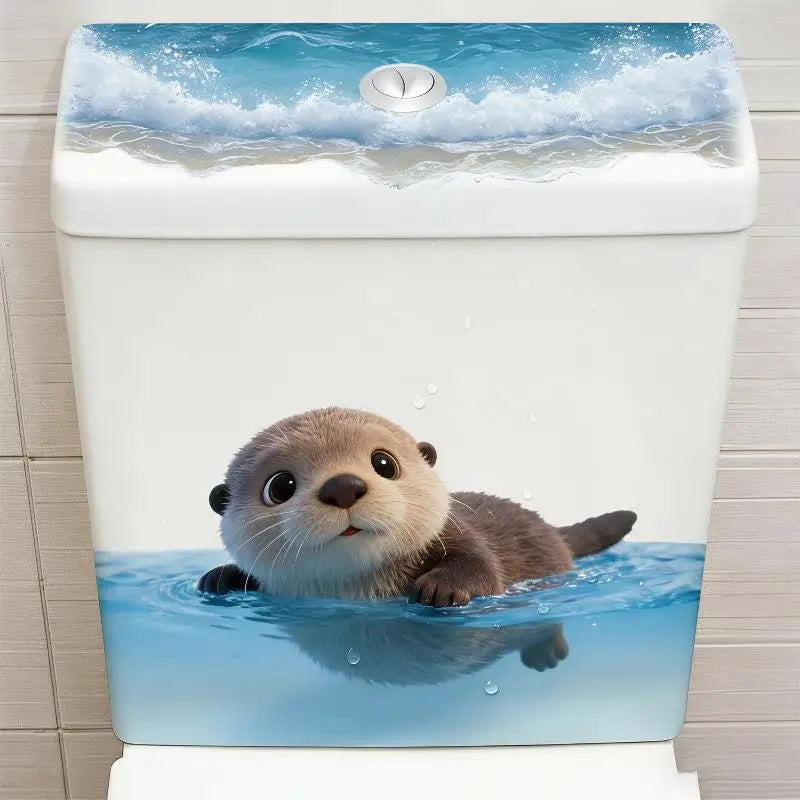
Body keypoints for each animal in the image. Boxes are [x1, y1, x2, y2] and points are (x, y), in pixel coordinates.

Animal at [198, 407, 636, 607]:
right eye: (280, 486)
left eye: (384, 463)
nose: (343, 486)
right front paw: (221, 577)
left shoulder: (460, 536)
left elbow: (483, 568)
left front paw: (444, 587)